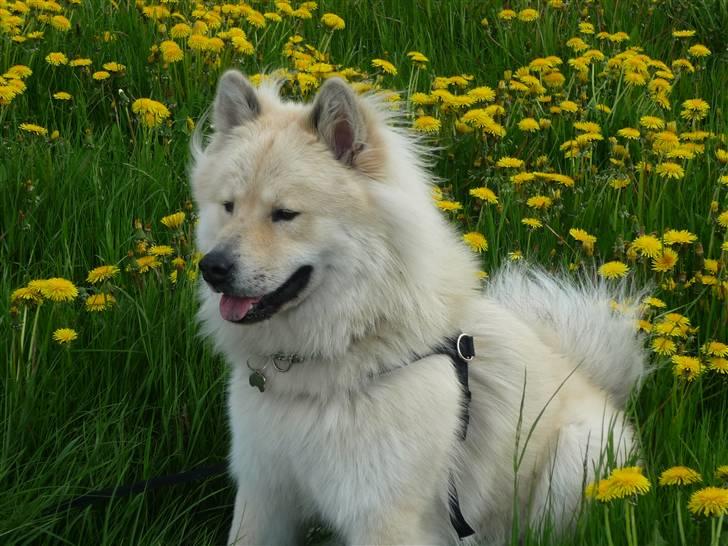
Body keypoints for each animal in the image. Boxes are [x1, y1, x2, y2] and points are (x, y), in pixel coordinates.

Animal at [192, 71, 644, 544]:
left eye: (284, 214)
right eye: (229, 207)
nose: (213, 268)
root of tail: (598, 382)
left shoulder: (384, 518)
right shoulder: (264, 495)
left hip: (573, 457)